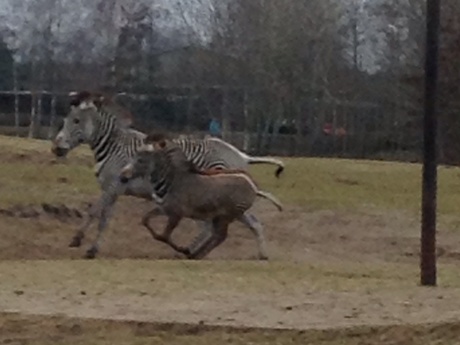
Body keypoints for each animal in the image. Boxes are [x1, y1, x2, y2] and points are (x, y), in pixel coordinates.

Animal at [120, 134, 282, 258]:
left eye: (141, 159)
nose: (122, 177)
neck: (173, 180)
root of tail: (253, 185)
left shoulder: (176, 214)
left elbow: (163, 236)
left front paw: (183, 249)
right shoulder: (163, 209)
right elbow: (146, 220)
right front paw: (185, 249)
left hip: (225, 216)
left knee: (220, 236)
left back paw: (196, 254)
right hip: (234, 214)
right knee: (228, 232)